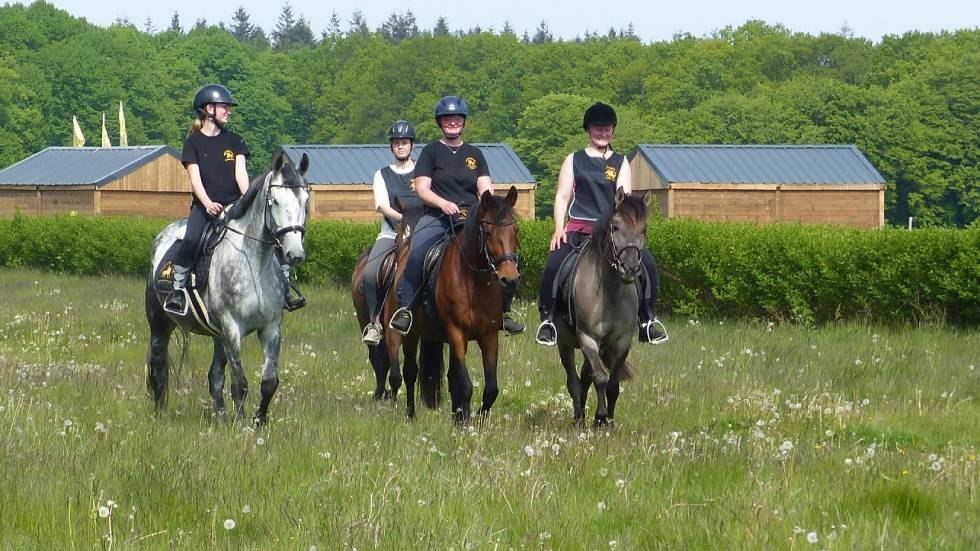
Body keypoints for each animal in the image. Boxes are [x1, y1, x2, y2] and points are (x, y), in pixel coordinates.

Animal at [143, 153, 306, 424]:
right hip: (160, 325)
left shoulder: (271, 328)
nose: (294, 253)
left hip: (218, 336)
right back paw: (159, 416)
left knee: (215, 377)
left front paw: (259, 422)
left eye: (305, 200)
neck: (253, 263)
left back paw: (220, 419)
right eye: (274, 201)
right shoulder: (232, 328)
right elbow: (240, 383)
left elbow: (269, 381)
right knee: (159, 368)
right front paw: (242, 426)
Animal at [382, 188, 524, 420]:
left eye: (516, 230)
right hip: (406, 332)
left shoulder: (489, 335)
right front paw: (464, 421)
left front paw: (475, 418)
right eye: (488, 232)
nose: (510, 279)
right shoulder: (457, 333)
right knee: (409, 371)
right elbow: (464, 384)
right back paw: (410, 415)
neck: (474, 280)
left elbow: (490, 388)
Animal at [556, 189, 648, 426]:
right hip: (565, 343)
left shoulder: (622, 342)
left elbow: (612, 385)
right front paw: (600, 416)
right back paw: (579, 418)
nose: (630, 268)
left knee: (584, 376)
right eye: (615, 227)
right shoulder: (588, 338)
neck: (611, 291)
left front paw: (607, 422)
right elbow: (599, 378)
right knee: (574, 379)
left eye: (644, 230)